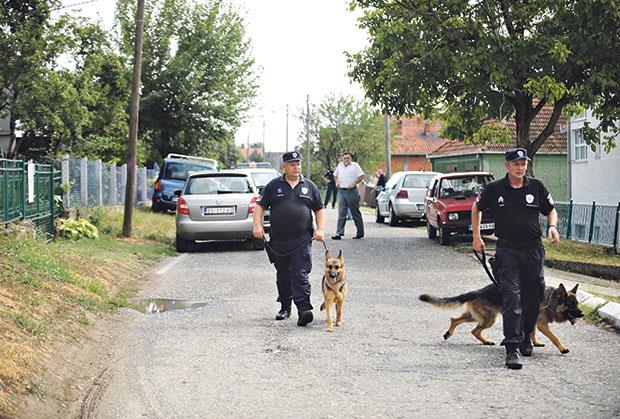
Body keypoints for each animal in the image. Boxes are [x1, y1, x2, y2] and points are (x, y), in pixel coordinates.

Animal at [419, 283, 583, 354]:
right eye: (571, 305)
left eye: (577, 304)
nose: (582, 314)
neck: (551, 300)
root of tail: (478, 291)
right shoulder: (542, 324)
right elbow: (554, 337)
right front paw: (562, 348)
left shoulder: (534, 321)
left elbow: (532, 333)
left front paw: (535, 343)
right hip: (489, 319)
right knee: (474, 330)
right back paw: (485, 341)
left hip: (476, 316)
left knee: (455, 319)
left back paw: (450, 334)